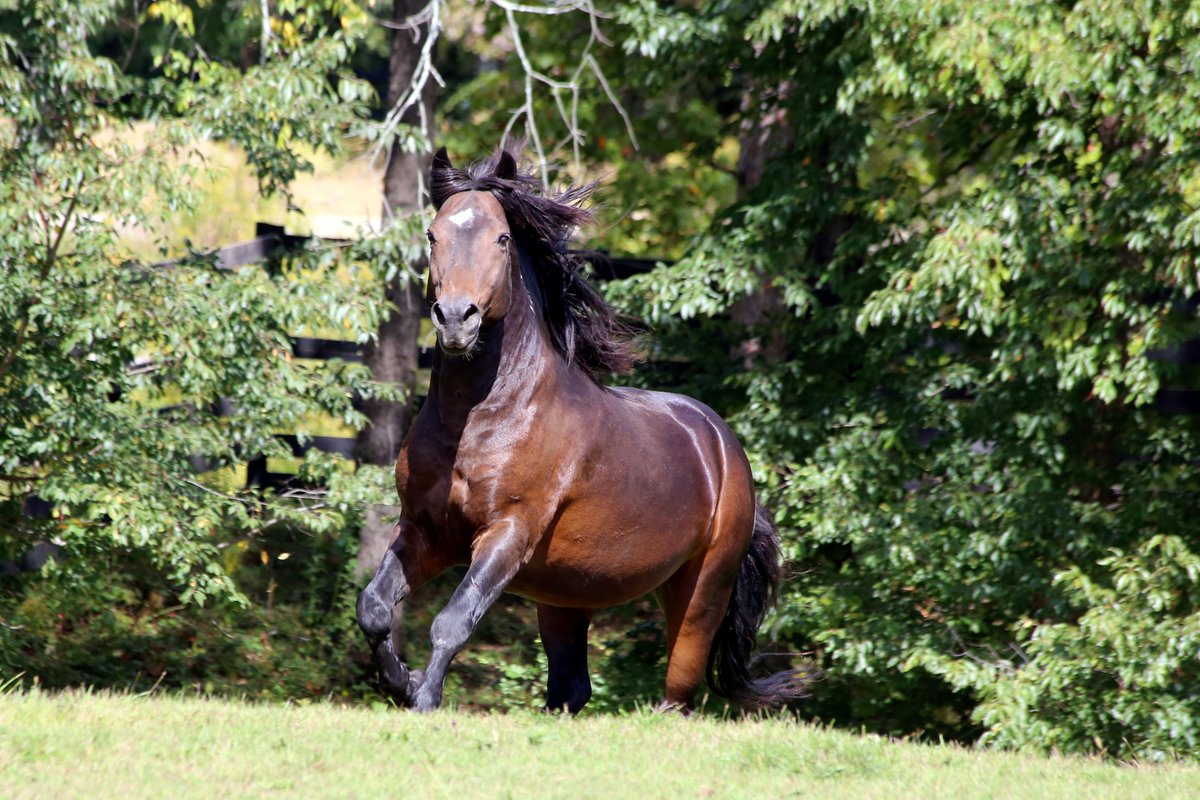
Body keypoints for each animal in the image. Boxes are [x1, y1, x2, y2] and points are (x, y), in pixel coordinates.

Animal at [355, 146, 808, 713]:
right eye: (433, 234)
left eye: (502, 238)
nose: (456, 318)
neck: (480, 419)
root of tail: (726, 448)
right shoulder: (425, 531)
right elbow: (373, 607)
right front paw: (400, 682)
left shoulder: (508, 532)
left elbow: (452, 622)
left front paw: (423, 697)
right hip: (565, 596)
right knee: (571, 687)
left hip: (701, 591)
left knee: (678, 690)